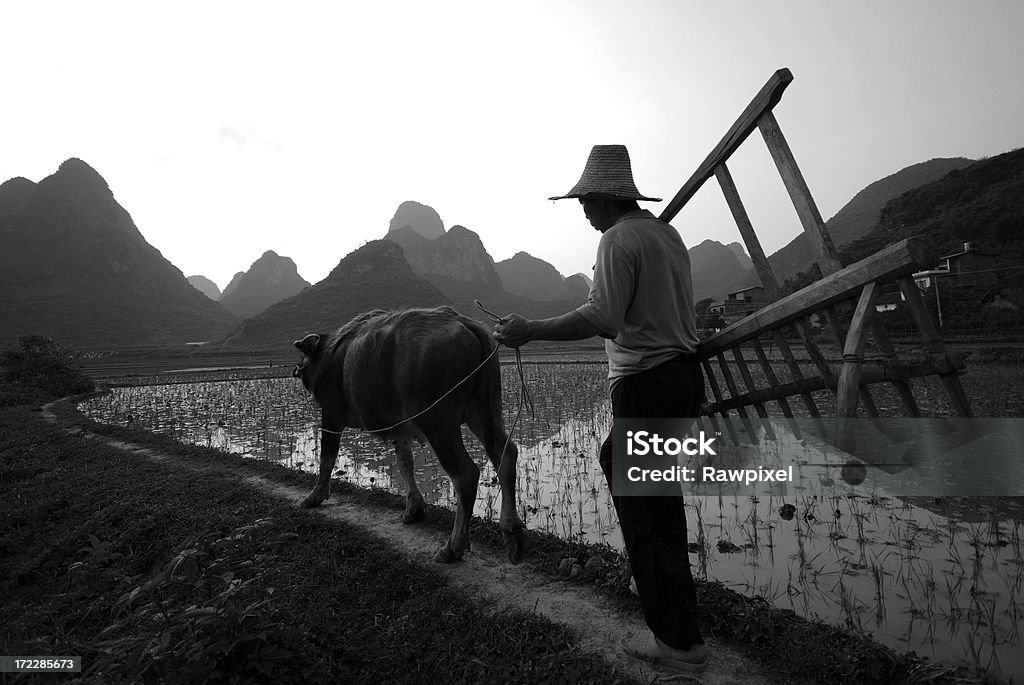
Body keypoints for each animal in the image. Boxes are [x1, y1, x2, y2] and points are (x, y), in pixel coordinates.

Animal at [290, 307, 524, 565]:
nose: (297, 370)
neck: (331, 357)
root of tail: (463, 322)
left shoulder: (331, 414)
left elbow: (326, 457)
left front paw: (313, 497)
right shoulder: (399, 428)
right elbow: (405, 464)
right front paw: (414, 508)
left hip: (438, 423)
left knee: (465, 474)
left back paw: (452, 547)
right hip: (484, 412)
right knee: (507, 454)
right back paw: (512, 532)